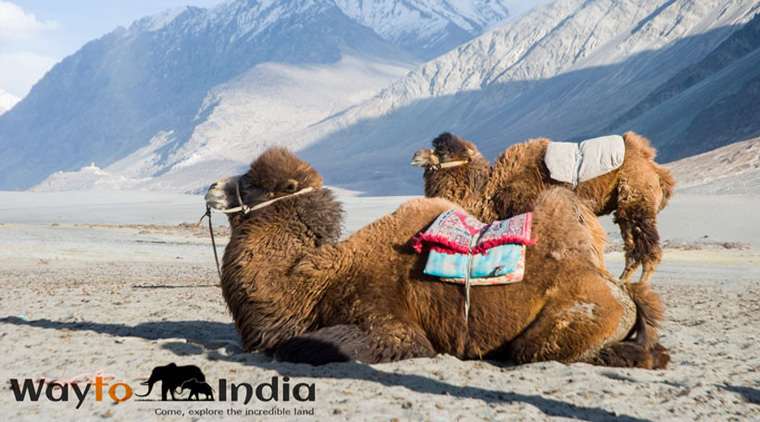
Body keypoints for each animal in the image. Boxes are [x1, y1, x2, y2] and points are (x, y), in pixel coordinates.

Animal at [412, 134, 672, 288]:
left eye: (444, 152)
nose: (416, 155)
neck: (491, 189)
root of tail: (656, 169)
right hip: (624, 208)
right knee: (633, 247)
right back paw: (621, 282)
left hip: (638, 197)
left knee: (650, 250)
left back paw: (640, 286)